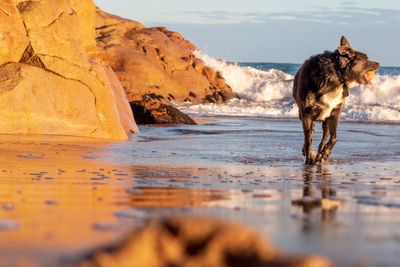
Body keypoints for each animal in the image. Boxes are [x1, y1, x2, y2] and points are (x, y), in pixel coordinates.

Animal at [292, 36, 380, 165]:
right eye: (366, 58)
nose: (379, 63)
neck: (337, 75)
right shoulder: (306, 114)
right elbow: (308, 139)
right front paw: (309, 158)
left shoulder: (334, 114)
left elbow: (334, 138)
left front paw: (324, 154)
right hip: (303, 115)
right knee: (310, 134)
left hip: (325, 120)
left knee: (323, 136)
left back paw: (319, 155)